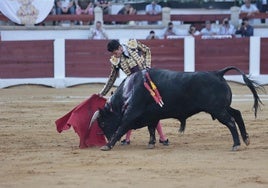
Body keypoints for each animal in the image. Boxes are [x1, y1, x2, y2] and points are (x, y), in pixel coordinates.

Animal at [91, 66, 262, 151]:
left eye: (103, 123)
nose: (107, 137)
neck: (130, 89)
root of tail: (217, 73)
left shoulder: (132, 113)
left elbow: (122, 127)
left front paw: (108, 145)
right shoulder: (151, 115)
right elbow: (151, 128)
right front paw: (151, 143)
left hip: (217, 110)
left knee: (231, 121)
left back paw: (236, 145)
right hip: (222, 107)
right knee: (237, 114)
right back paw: (246, 139)